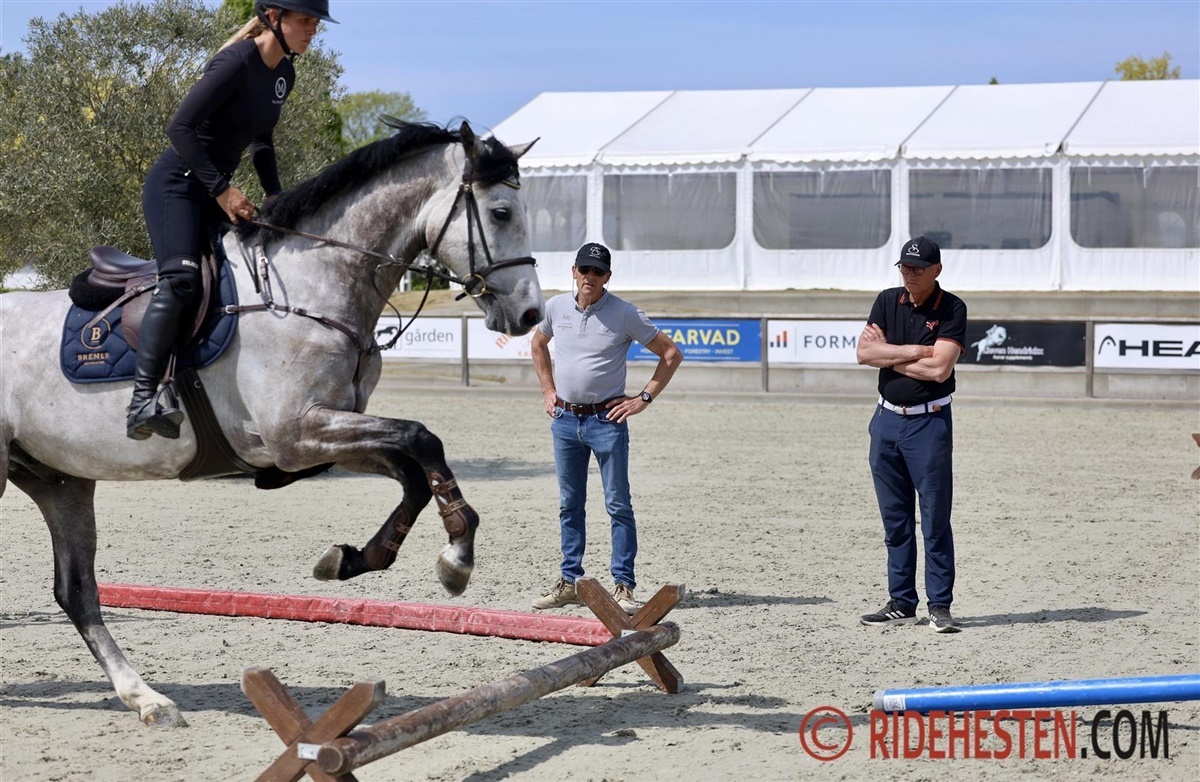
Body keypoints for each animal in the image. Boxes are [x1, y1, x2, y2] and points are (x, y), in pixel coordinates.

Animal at [0, 120, 544, 727]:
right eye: (501, 212)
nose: (530, 315)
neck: (308, 290)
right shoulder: (296, 434)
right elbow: (423, 440)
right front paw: (457, 558)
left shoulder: (321, 436)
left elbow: (412, 469)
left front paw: (355, 559)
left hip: (59, 479)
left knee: (76, 590)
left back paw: (147, 699)